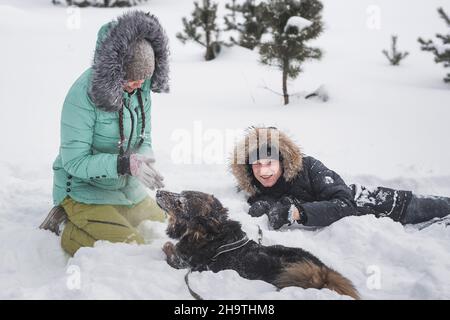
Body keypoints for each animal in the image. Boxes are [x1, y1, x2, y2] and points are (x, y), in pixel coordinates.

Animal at [156, 190, 360, 300]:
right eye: (180, 194)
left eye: (180, 203)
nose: (158, 192)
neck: (207, 234)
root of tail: (323, 273)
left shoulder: (184, 263)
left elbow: (168, 247)